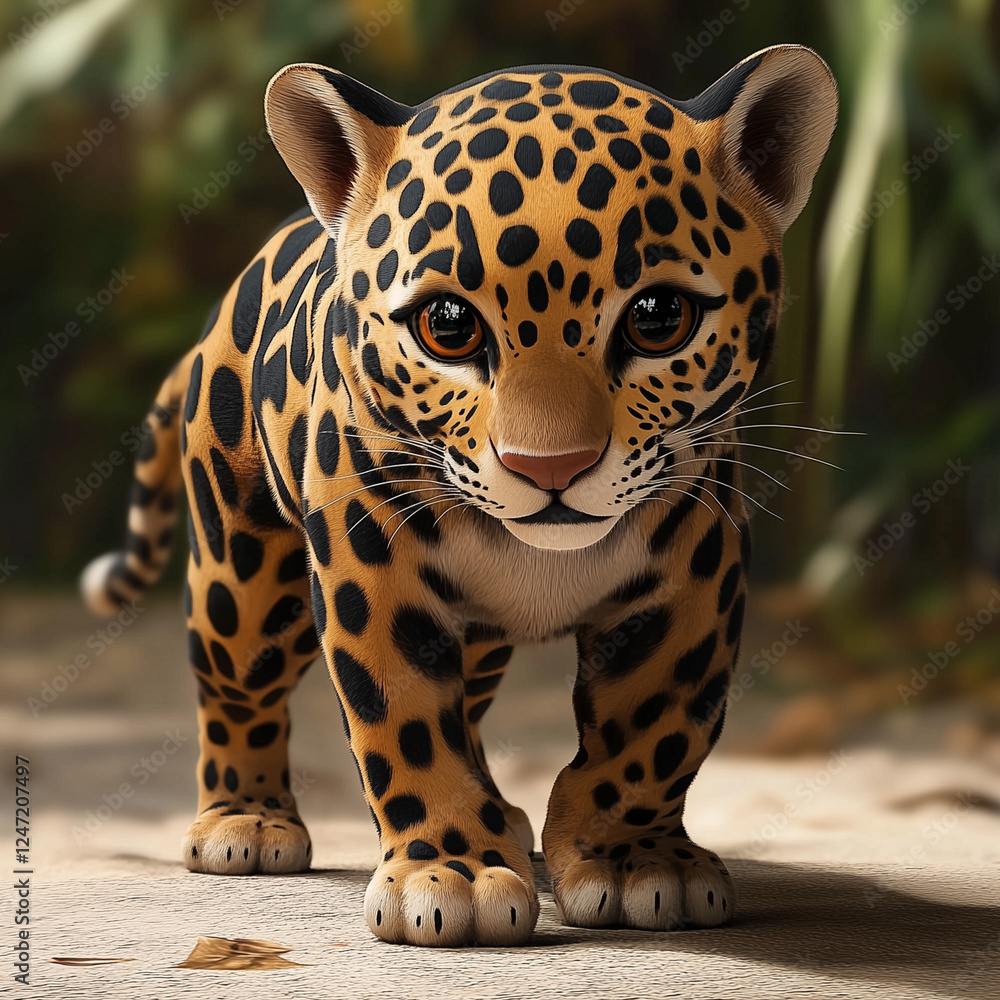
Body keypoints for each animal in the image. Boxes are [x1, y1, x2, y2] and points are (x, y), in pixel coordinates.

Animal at [80, 44, 838, 947]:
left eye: (659, 317)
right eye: (447, 326)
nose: (551, 467)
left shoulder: (693, 569)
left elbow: (654, 726)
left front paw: (634, 861)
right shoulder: (375, 569)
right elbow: (406, 724)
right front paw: (452, 875)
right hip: (245, 567)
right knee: (236, 678)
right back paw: (245, 821)